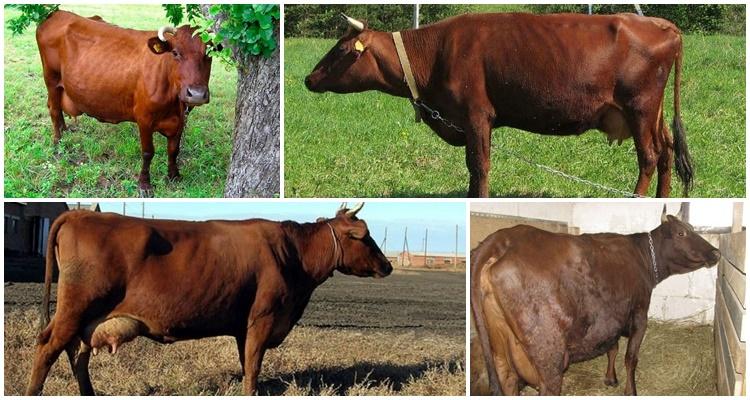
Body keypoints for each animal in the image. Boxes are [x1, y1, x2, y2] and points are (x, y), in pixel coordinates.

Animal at [24, 203, 393, 395]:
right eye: (366, 237)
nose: (388, 265)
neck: (293, 254)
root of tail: (80, 214)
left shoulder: (244, 326)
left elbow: (247, 363)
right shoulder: (263, 318)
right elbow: (253, 366)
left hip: (86, 319)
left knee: (77, 355)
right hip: (74, 309)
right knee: (47, 348)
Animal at [36, 10, 215, 197]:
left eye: (208, 54)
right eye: (175, 52)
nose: (196, 94)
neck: (173, 103)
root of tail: (57, 13)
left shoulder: (181, 120)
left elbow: (174, 150)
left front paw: (174, 175)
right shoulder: (144, 118)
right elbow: (147, 152)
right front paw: (144, 184)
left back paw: (64, 130)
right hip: (51, 78)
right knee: (54, 109)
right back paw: (58, 142)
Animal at [305, 13, 692, 198]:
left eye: (341, 49)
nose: (308, 79)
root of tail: (662, 24)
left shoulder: (476, 115)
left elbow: (479, 167)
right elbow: (474, 167)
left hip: (640, 107)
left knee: (649, 157)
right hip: (652, 114)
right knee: (667, 151)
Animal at [470, 206, 720, 395]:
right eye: (681, 233)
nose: (716, 253)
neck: (640, 257)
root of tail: (502, 239)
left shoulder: (611, 318)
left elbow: (612, 347)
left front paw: (610, 378)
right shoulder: (639, 313)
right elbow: (631, 357)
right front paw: (630, 391)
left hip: (501, 351)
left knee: (508, 379)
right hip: (548, 352)